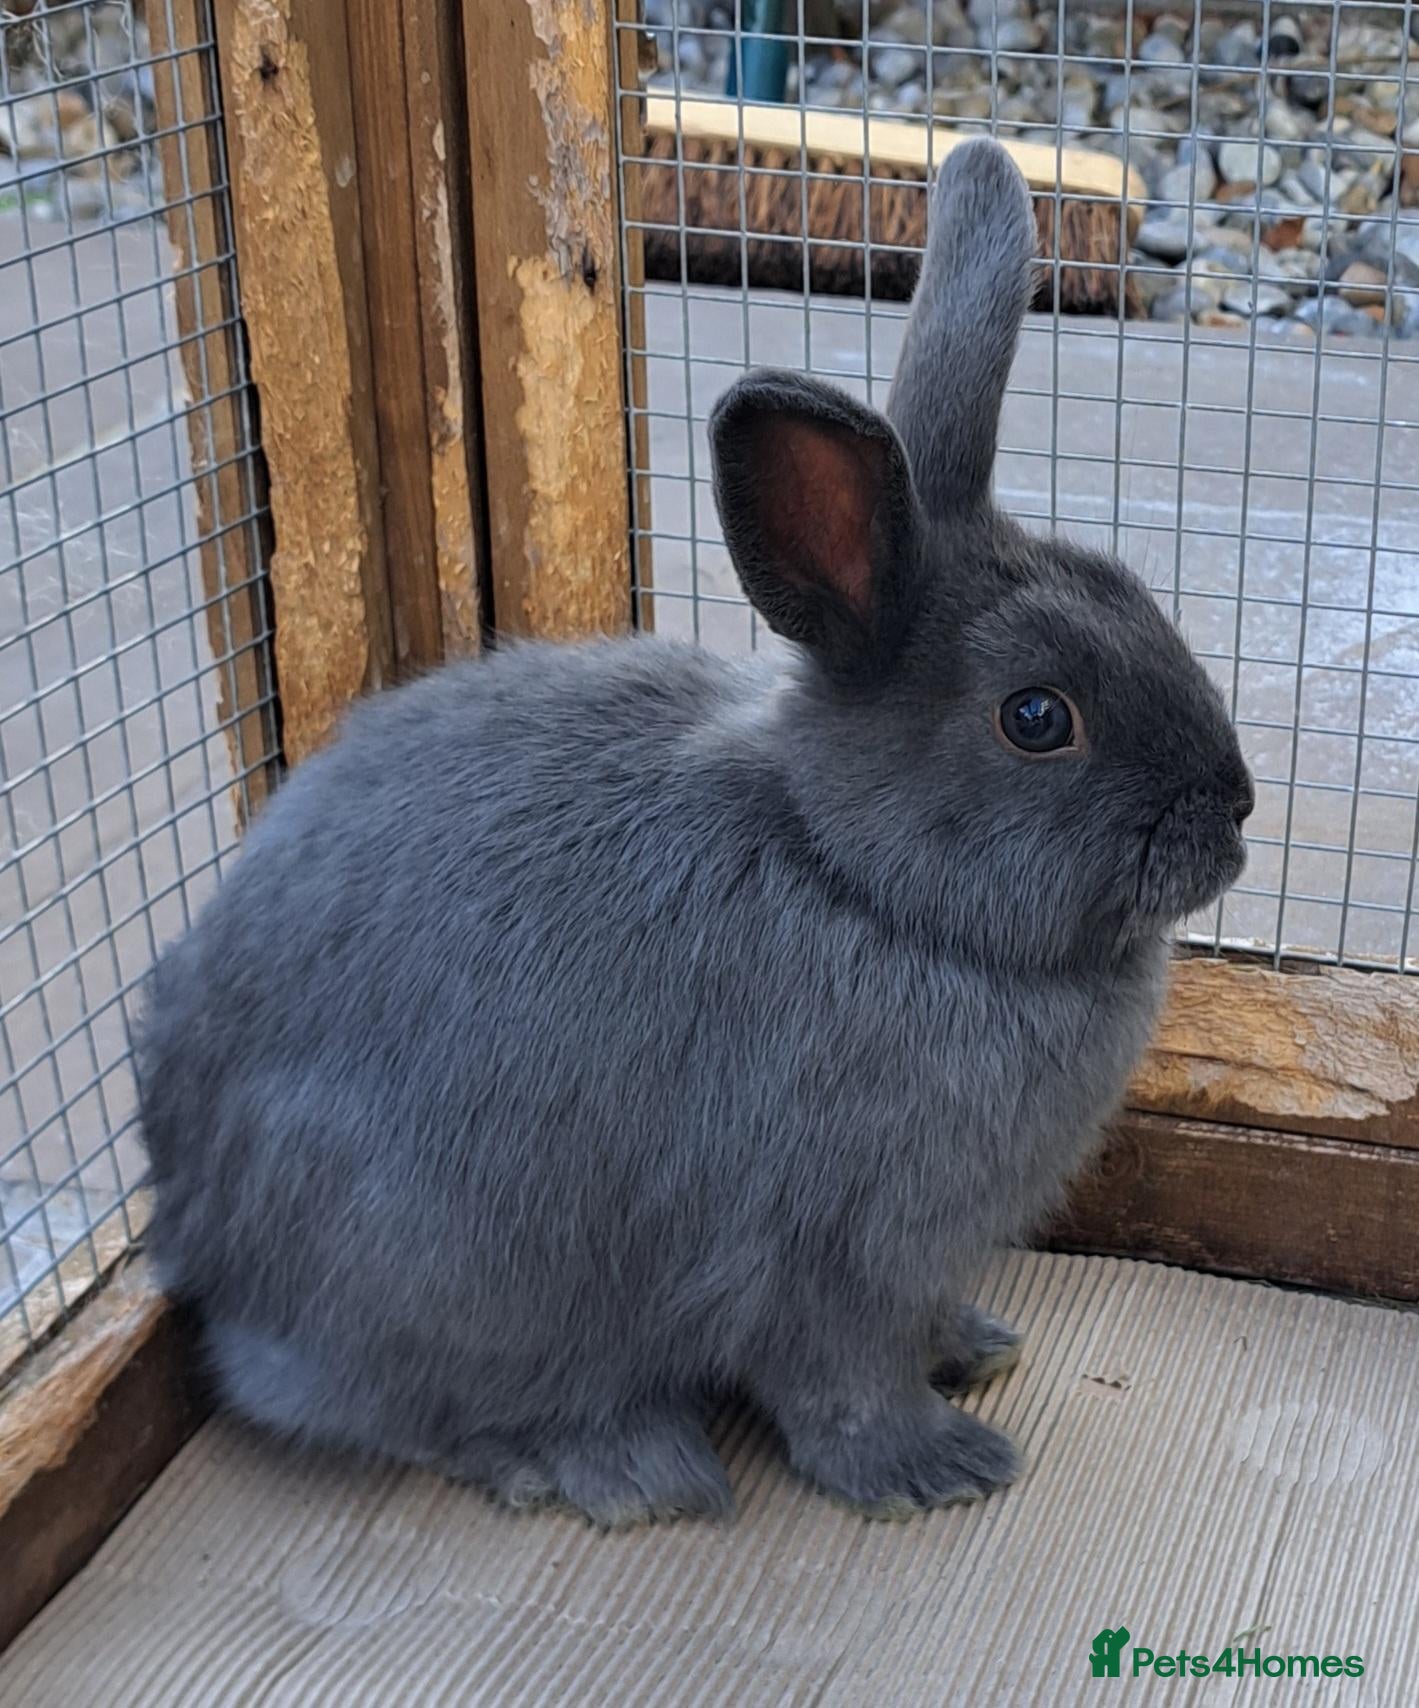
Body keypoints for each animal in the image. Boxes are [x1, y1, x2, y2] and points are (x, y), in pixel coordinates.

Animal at [138, 138, 1252, 1526]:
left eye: (1134, 593)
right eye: (1037, 717)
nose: (1235, 811)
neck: (857, 882)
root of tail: (191, 1222)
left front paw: (976, 1347)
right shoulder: (822, 1256)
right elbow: (840, 1390)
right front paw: (938, 1466)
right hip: (452, 1274)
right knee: (401, 1408)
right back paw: (621, 1462)